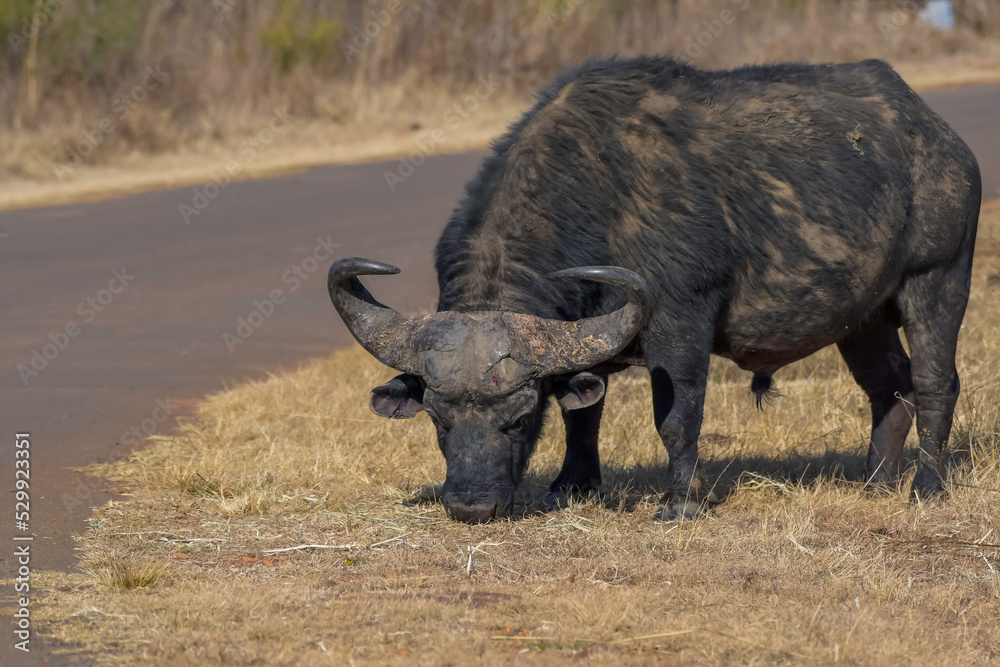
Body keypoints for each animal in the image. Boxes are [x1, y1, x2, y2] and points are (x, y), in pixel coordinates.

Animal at [328, 56, 981, 523]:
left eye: (519, 416)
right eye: (438, 420)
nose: (470, 505)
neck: (597, 193)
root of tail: (943, 140)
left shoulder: (679, 323)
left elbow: (677, 416)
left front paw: (679, 501)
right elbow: (583, 416)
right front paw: (572, 485)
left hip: (938, 279)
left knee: (934, 382)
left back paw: (925, 486)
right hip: (863, 317)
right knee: (888, 387)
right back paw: (874, 481)